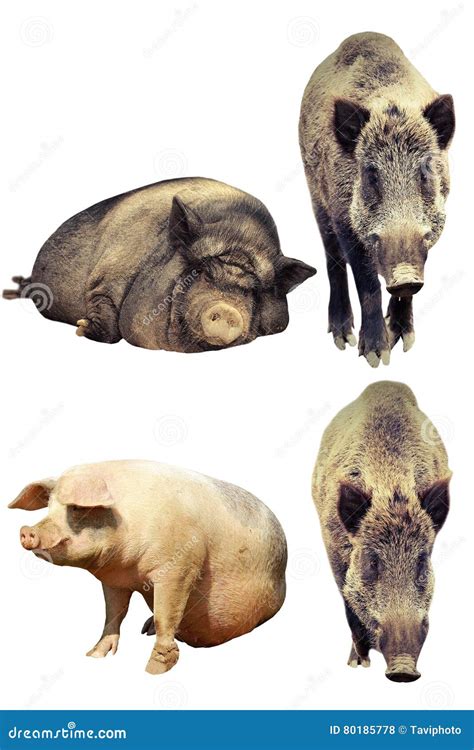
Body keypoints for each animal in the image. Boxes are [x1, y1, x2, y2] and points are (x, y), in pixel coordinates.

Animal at [9, 460, 287, 674]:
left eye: (76, 508)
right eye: (49, 507)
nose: (26, 531)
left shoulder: (179, 567)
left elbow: (167, 615)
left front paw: (154, 670)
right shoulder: (114, 581)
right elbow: (114, 614)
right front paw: (94, 655)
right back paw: (145, 629)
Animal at [299, 32, 455, 366]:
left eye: (425, 171)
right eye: (371, 173)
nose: (405, 275)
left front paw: (403, 342)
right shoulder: (346, 222)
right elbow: (367, 283)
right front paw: (375, 357)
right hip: (314, 194)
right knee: (332, 258)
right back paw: (341, 337)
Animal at [312, 382, 451, 682]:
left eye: (421, 562)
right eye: (373, 562)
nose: (403, 671)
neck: (391, 490)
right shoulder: (332, 547)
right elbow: (349, 606)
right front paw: (358, 664)